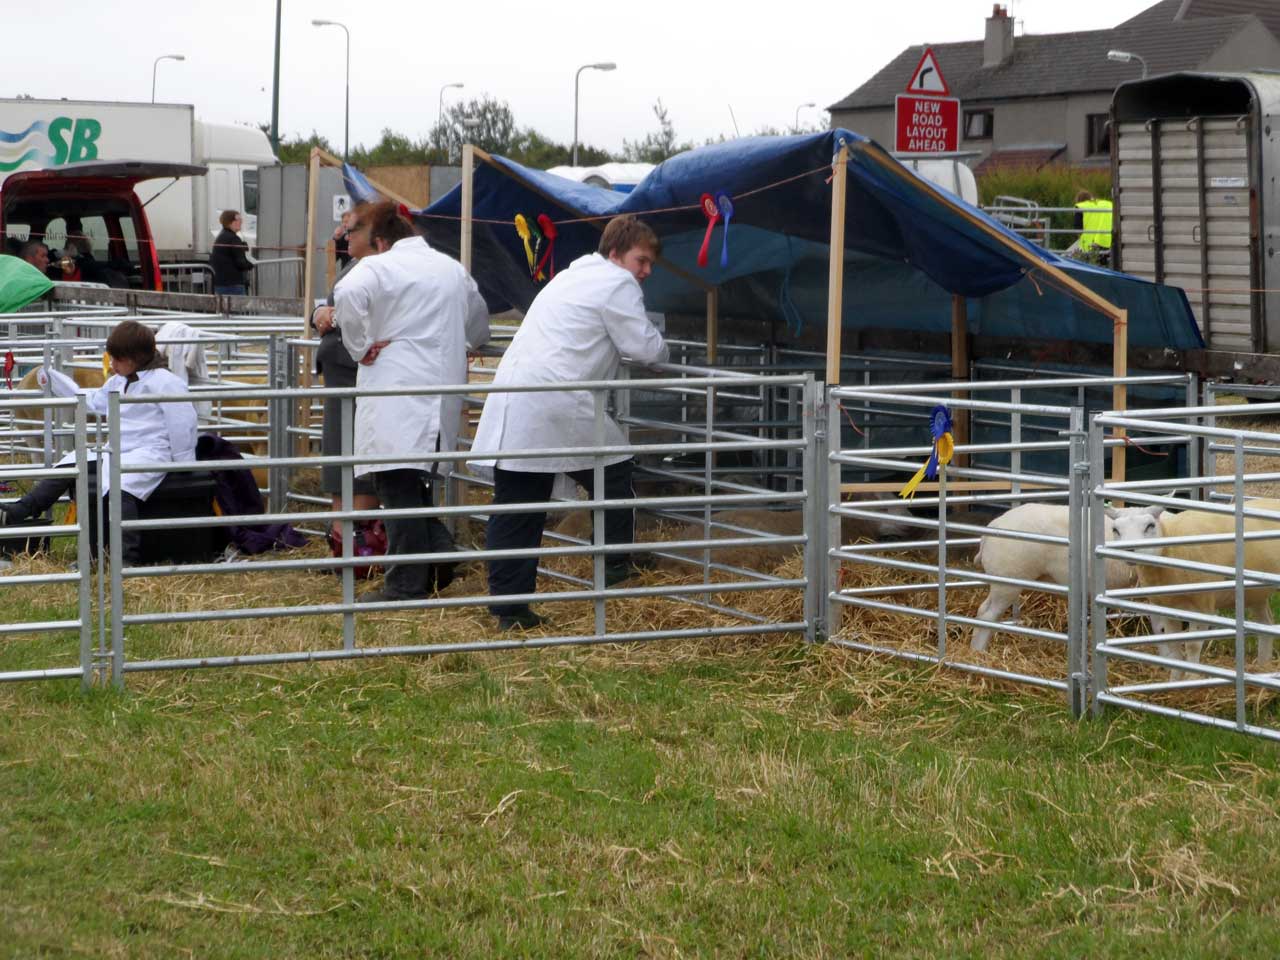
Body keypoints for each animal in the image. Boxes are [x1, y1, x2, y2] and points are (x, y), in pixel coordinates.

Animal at [967, 504, 1162, 655]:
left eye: (1149, 526)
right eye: (1116, 530)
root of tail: (992, 527)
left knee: (983, 610)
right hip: (1008, 579)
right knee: (987, 614)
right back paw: (978, 652)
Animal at [1131, 499, 1280, 680]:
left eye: (1150, 526)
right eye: (1115, 530)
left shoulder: (1202, 605)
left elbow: (1193, 645)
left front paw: (1192, 678)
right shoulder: (1168, 606)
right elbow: (1174, 646)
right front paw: (1174, 679)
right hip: (1256, 593)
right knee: (1266, 623)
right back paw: (1263, 667)